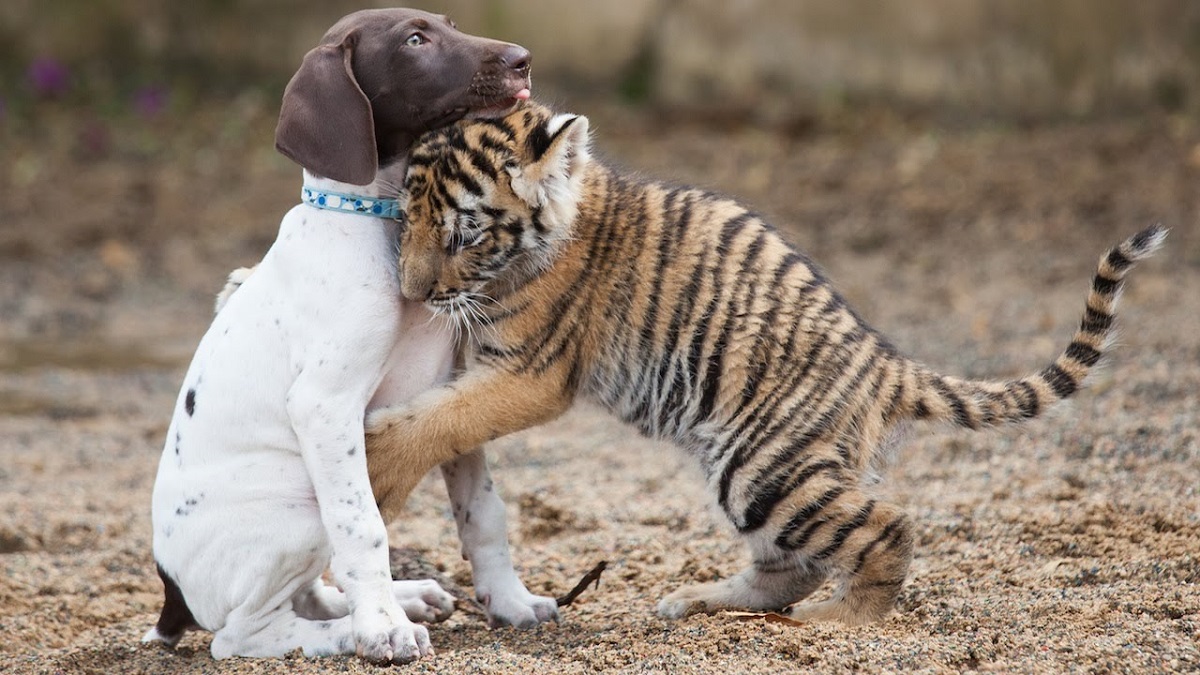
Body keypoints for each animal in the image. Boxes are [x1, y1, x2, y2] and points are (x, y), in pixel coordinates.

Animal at [144, 9, 552, 662]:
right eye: (415, 40)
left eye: (448, 23)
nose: (523, 59)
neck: (379, 224)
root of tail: (172, 593)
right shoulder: (325, 406)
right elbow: (363, 528)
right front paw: (382, 629)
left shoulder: (451, 393)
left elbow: (482, 512)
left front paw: (510, 601)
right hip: (298, 511)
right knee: (242, 634)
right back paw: (355, 630)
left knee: (306, 594)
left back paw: (402, 600)